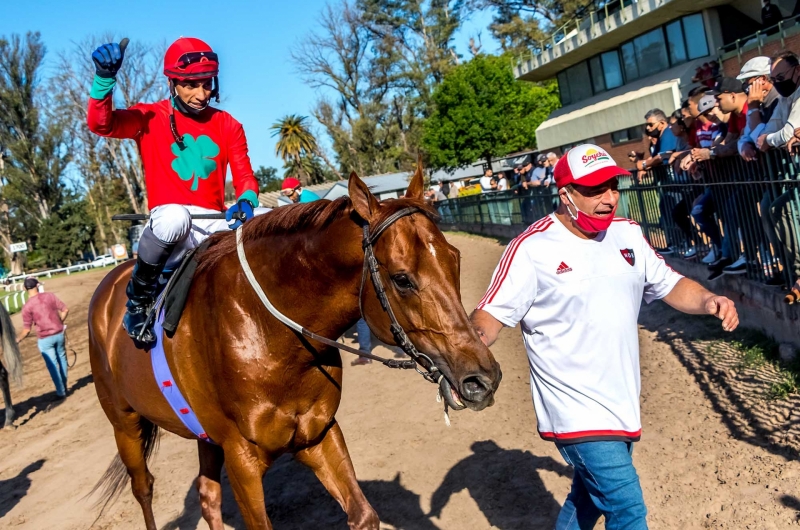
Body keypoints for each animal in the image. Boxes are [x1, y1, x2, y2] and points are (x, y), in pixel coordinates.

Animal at [87, 170, 500, 528]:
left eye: (455, 258)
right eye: (402, 279)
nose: (483, 378)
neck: (270, 337)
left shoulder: (317, 433)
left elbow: (363, 514)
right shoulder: (242, 459)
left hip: (204, 436)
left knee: (207, 494)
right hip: (124, 423)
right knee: (144, 488)